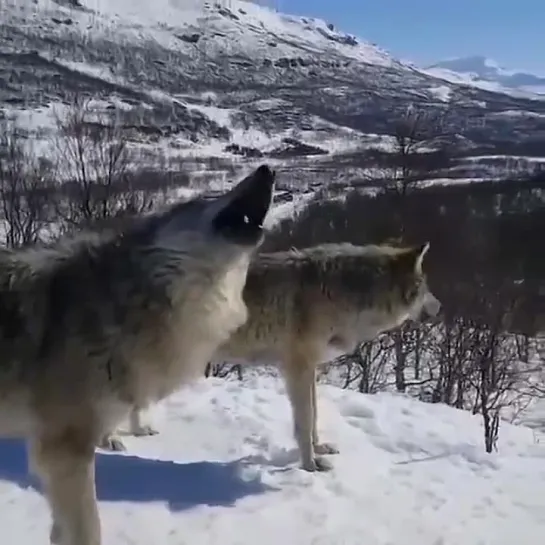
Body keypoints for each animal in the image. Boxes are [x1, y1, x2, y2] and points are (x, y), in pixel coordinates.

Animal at [120, 240, 442, 470]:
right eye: (424, 287)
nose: (439, 308)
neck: (342, 294)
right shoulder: (297, 366)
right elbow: (305, 419)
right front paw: (311, 465)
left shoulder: (310, 368)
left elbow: (314, 416)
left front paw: (319, 448)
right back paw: (113, 441)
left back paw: (138, 431)